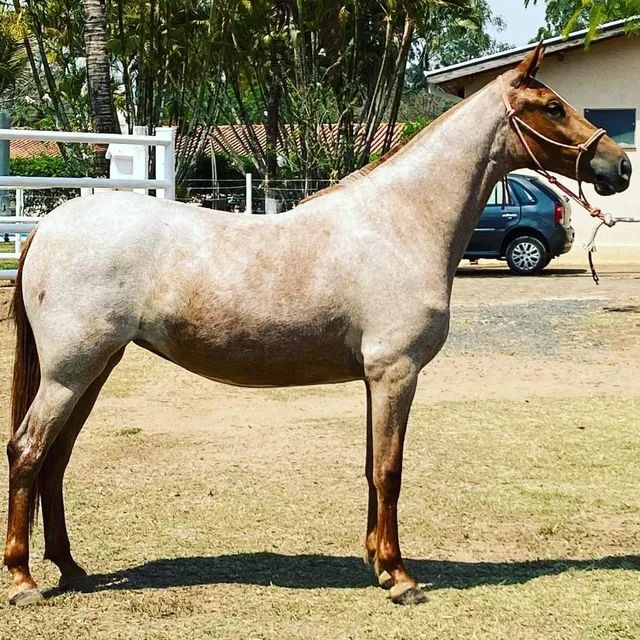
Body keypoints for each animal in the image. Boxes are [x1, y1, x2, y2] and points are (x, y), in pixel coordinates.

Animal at [1, 43, 632, 604]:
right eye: (551, 106)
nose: (620, 165)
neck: (400, 222)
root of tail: (50, 224)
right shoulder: (396, 373)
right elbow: (390, 471)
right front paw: (400, 578)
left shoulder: (375, 379)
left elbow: (372, 468)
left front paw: (376, 561)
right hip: (70, 372)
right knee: (28, 450)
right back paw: (25, 580)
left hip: (94, 368)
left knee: (56, 459)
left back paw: (70, 568)